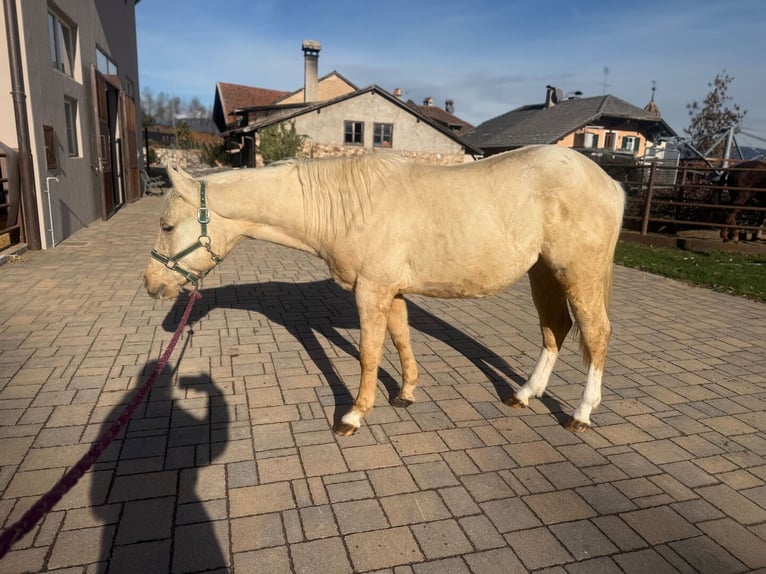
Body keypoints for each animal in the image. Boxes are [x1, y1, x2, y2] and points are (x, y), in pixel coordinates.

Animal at [144, 145, 625, 436]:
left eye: (166, 226)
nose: (152, 285)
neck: (347, 205)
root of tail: (611, 182)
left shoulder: (370, 291)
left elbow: (370, 353)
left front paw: (354, 414)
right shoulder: (391, 291)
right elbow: (400, 339)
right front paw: (406, 394)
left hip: (577, 274)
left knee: (596, 333)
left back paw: (582, 413)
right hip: (543, 273)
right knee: (555, 330)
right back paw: (524, 395)